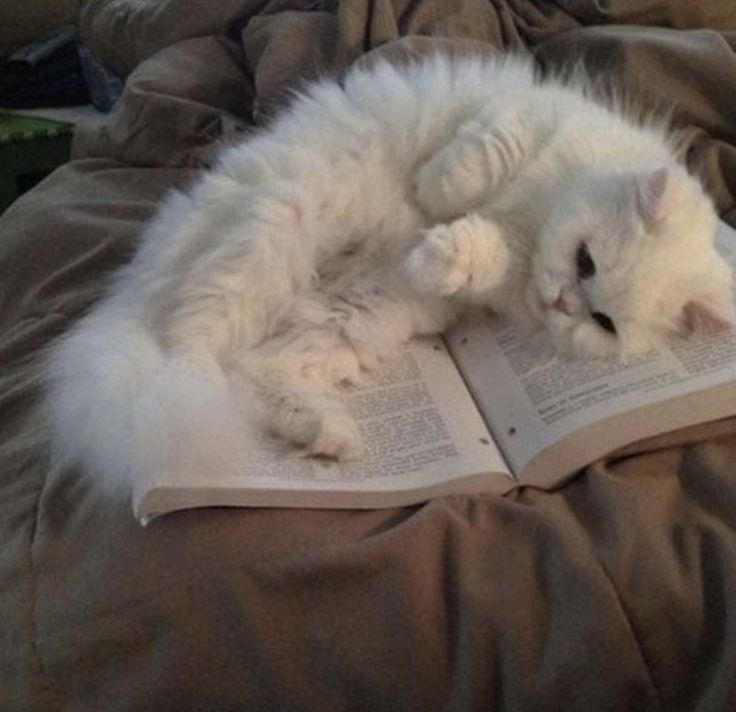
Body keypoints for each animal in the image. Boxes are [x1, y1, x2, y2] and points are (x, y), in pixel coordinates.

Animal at [44, 52, 732, 492]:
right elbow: (475, 165)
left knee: (250, 372)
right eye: (585, 261)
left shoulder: (504, 269)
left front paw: (435, 254)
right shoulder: (517, 117)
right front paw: (437, 202)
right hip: (272, 231)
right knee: (190, 348)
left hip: (351, 316)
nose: (563, 303)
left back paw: (328, 434)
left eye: (604, 322)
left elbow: (478, 252)